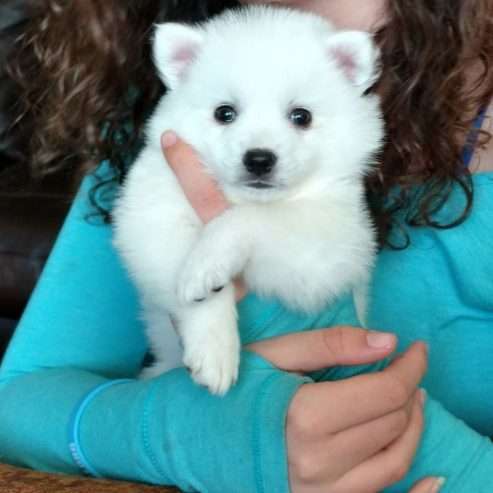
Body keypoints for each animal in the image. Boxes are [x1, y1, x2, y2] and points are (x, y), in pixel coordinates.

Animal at [112, 5, 384, 394]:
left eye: (301, 116)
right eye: (224, 113)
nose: (258, 159)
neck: (240, 197)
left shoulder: (328, 250)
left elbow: (252, 220)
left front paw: (208, 259)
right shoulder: (151, 217)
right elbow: (186, 282)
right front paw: (214, 345)